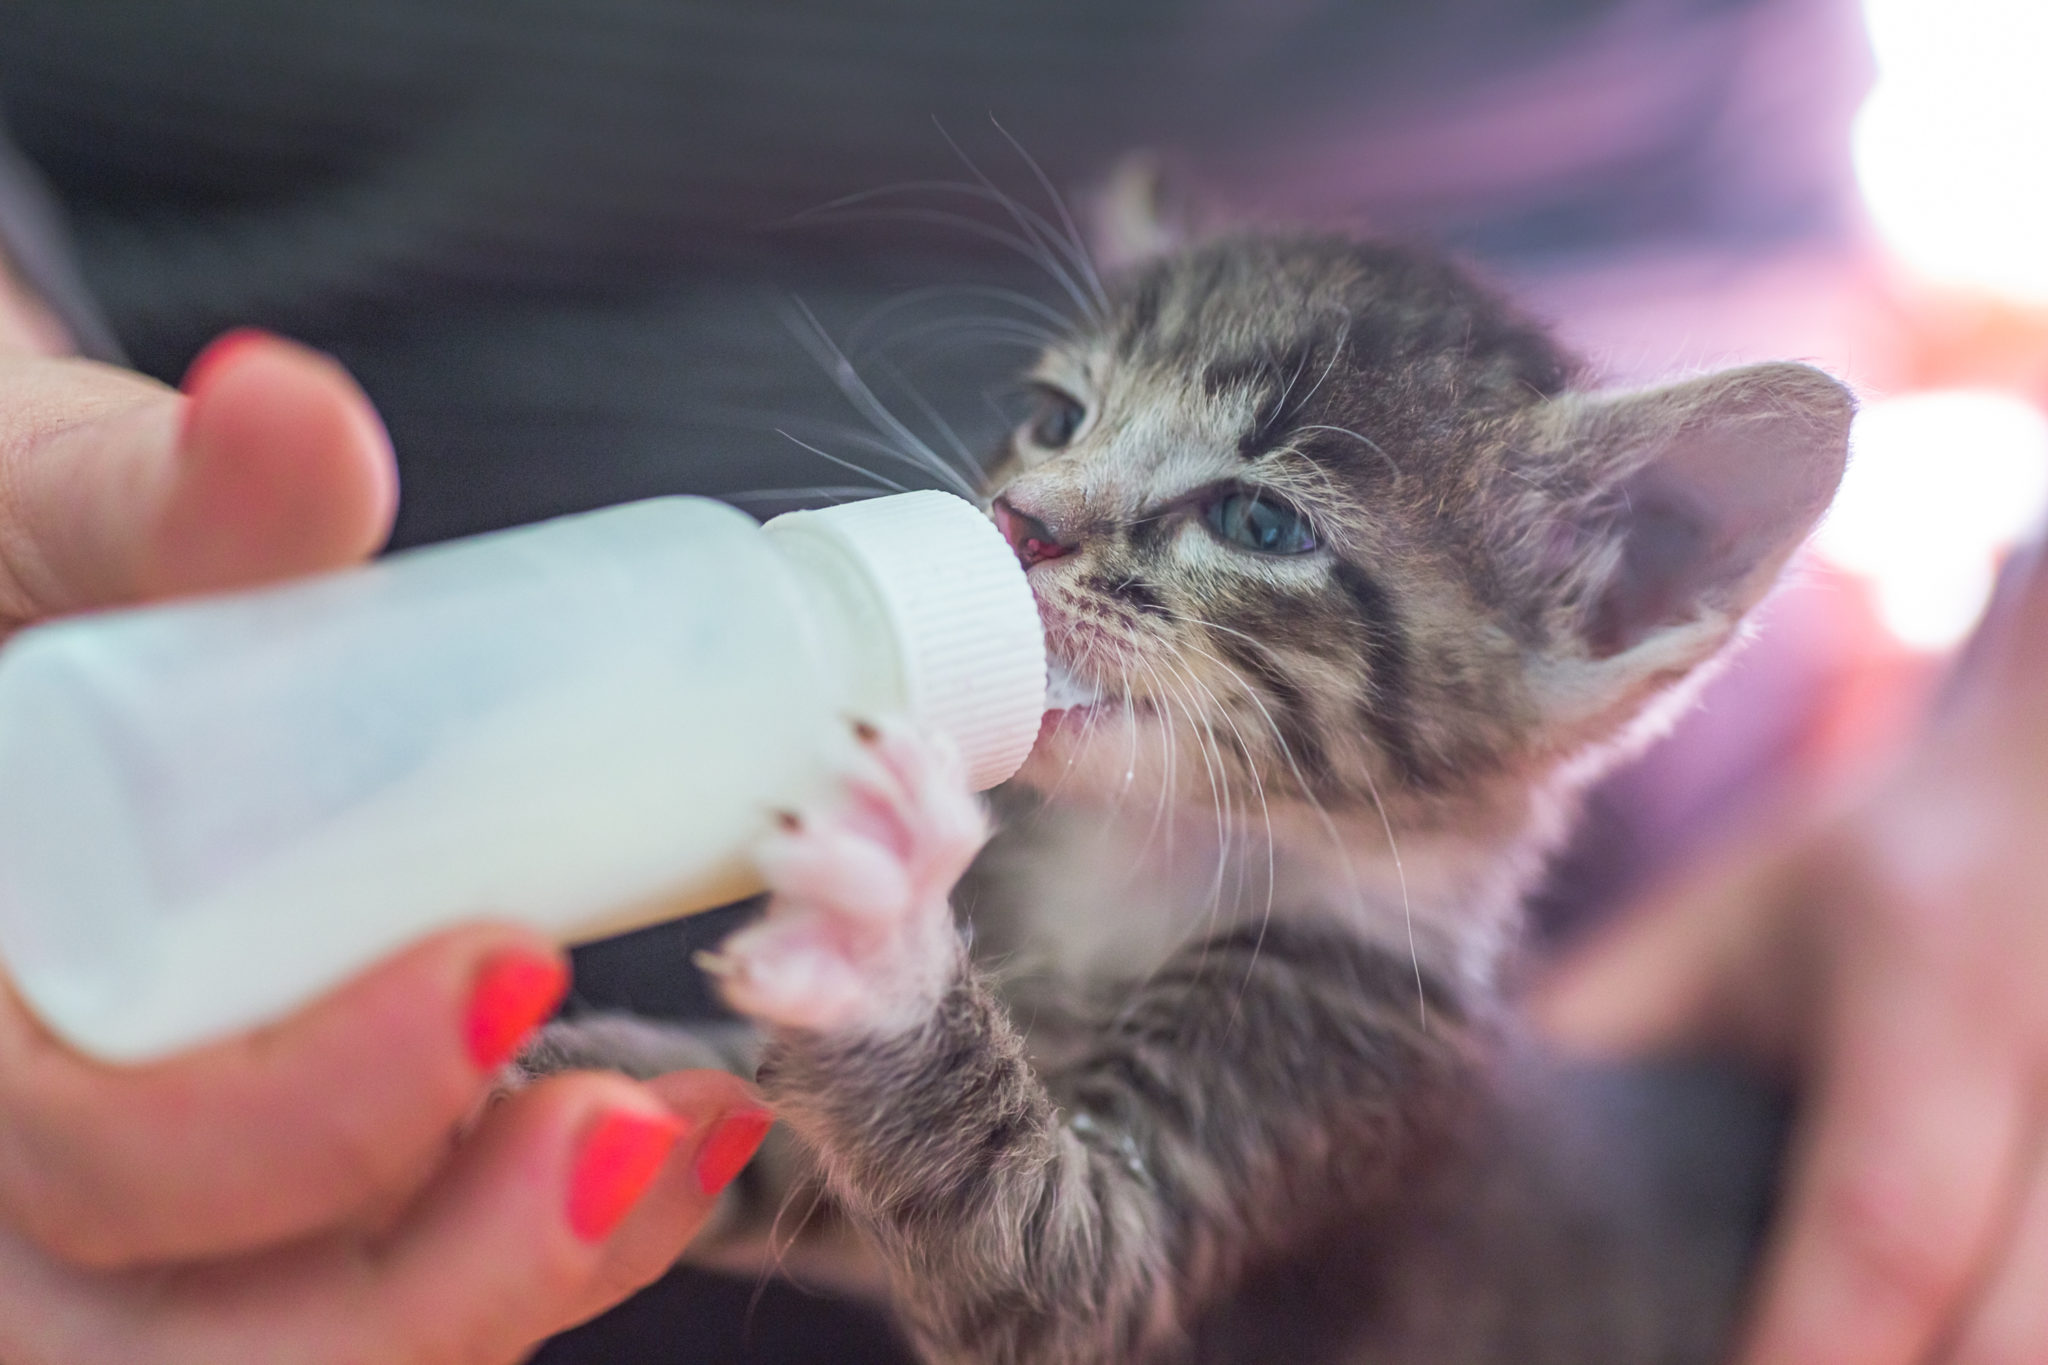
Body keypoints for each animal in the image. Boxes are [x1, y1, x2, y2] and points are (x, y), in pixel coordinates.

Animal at [536, 235, 1851, 1365]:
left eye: (1258, 522)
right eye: (1055, 419)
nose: (1018, 518)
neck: (1126, 874)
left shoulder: (1327, 1085)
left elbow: (1049, 1262)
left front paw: (878, 939)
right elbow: (756, 1137)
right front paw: (577, 1076)